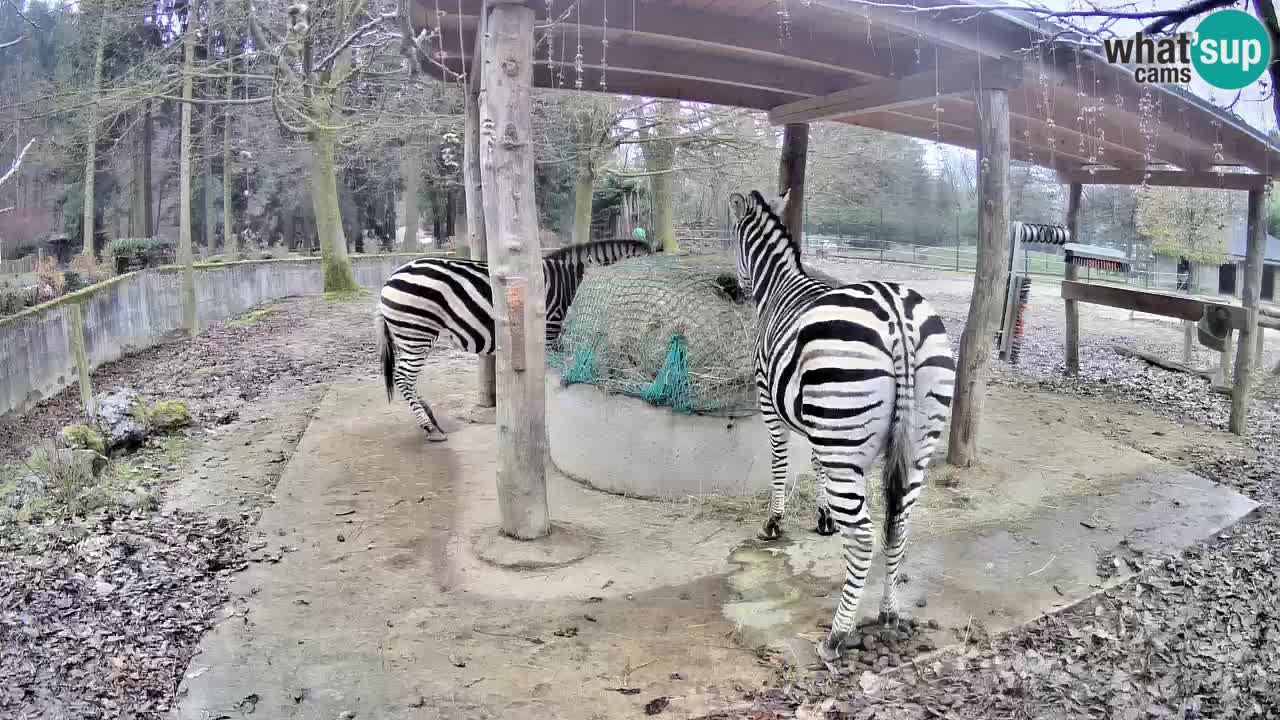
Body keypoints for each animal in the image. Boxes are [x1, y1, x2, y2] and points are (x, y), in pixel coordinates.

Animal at [371, 238, 650, 438]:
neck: (570, 283)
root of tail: (389, 278)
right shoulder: (549, 331)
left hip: (409, 335)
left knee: (406, 378)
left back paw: (430, 418)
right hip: (416, 332)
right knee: (404, 378)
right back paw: (428, 427)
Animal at [732, 189, 952, 661]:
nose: (734, 289)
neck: (779, 285)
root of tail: (897, 314)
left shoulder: (771, 404)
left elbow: (780, 463)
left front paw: (774, 521)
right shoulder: (818, 426)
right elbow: (815, 468)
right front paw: (824, 518)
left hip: (843, 438)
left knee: (867, 536)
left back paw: (836, 634)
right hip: (915, 443)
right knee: (899, 525)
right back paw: (889, 612)